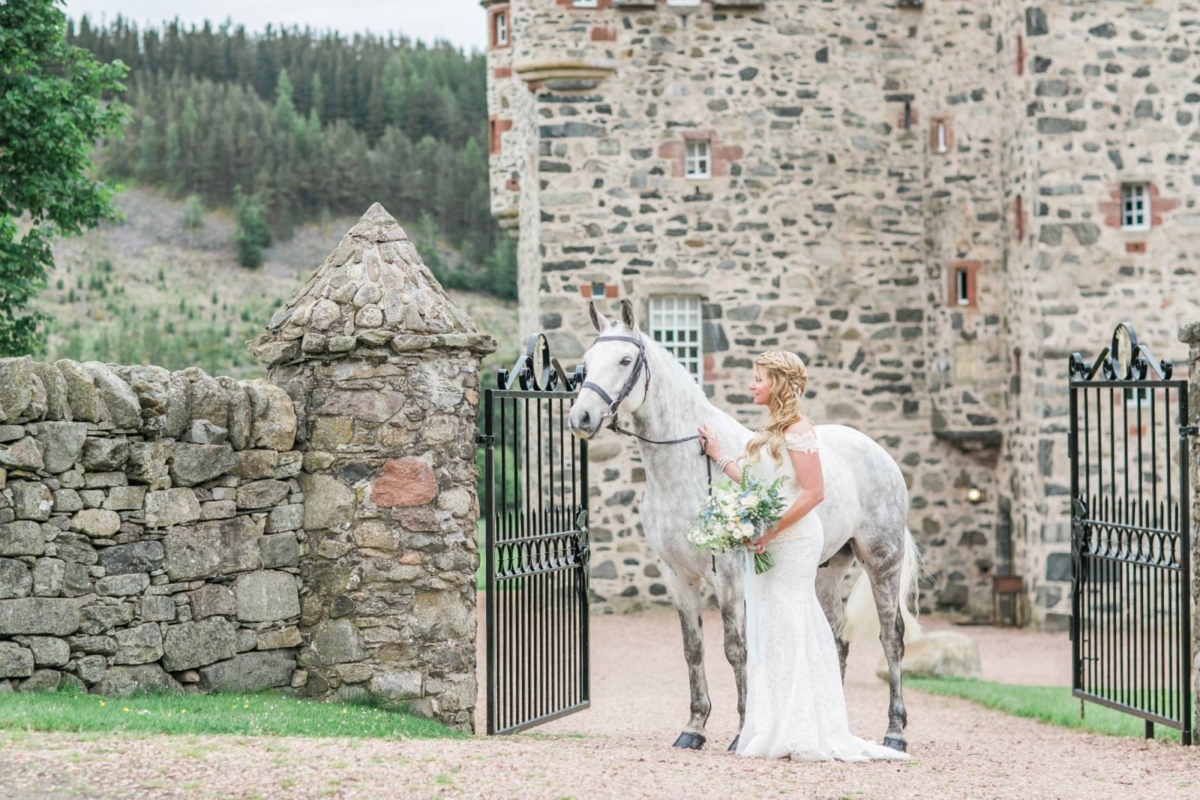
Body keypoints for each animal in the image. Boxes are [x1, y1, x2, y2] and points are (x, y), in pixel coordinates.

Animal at [566, 303, 921, 753]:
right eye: (587, 361)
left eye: (626, 361)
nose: (581, 418)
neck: (686, 466)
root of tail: (879, 453)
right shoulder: (676, 576)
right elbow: (693, 648)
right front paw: (694, 728)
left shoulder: (730, 575)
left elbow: (736, 649)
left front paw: (740, 734)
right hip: (826, 571)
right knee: (836, 637)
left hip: (882, 561)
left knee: (891, 636)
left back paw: (895, 733)